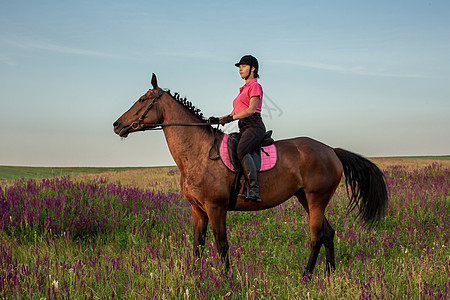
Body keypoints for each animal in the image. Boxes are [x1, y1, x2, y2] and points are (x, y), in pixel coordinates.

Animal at [112, 73, 386, 276]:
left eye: (142, 99)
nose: (117, 125)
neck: (198, 151)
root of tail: (331, 150)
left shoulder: (216, 207)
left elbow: (221, 246)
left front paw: (226, 280)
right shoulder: (198, 209)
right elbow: (197, 245)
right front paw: (194, 277)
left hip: (316, 199)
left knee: (316, 237)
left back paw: (306, 275)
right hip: (305, 198)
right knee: (328, 234)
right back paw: (329, 275)